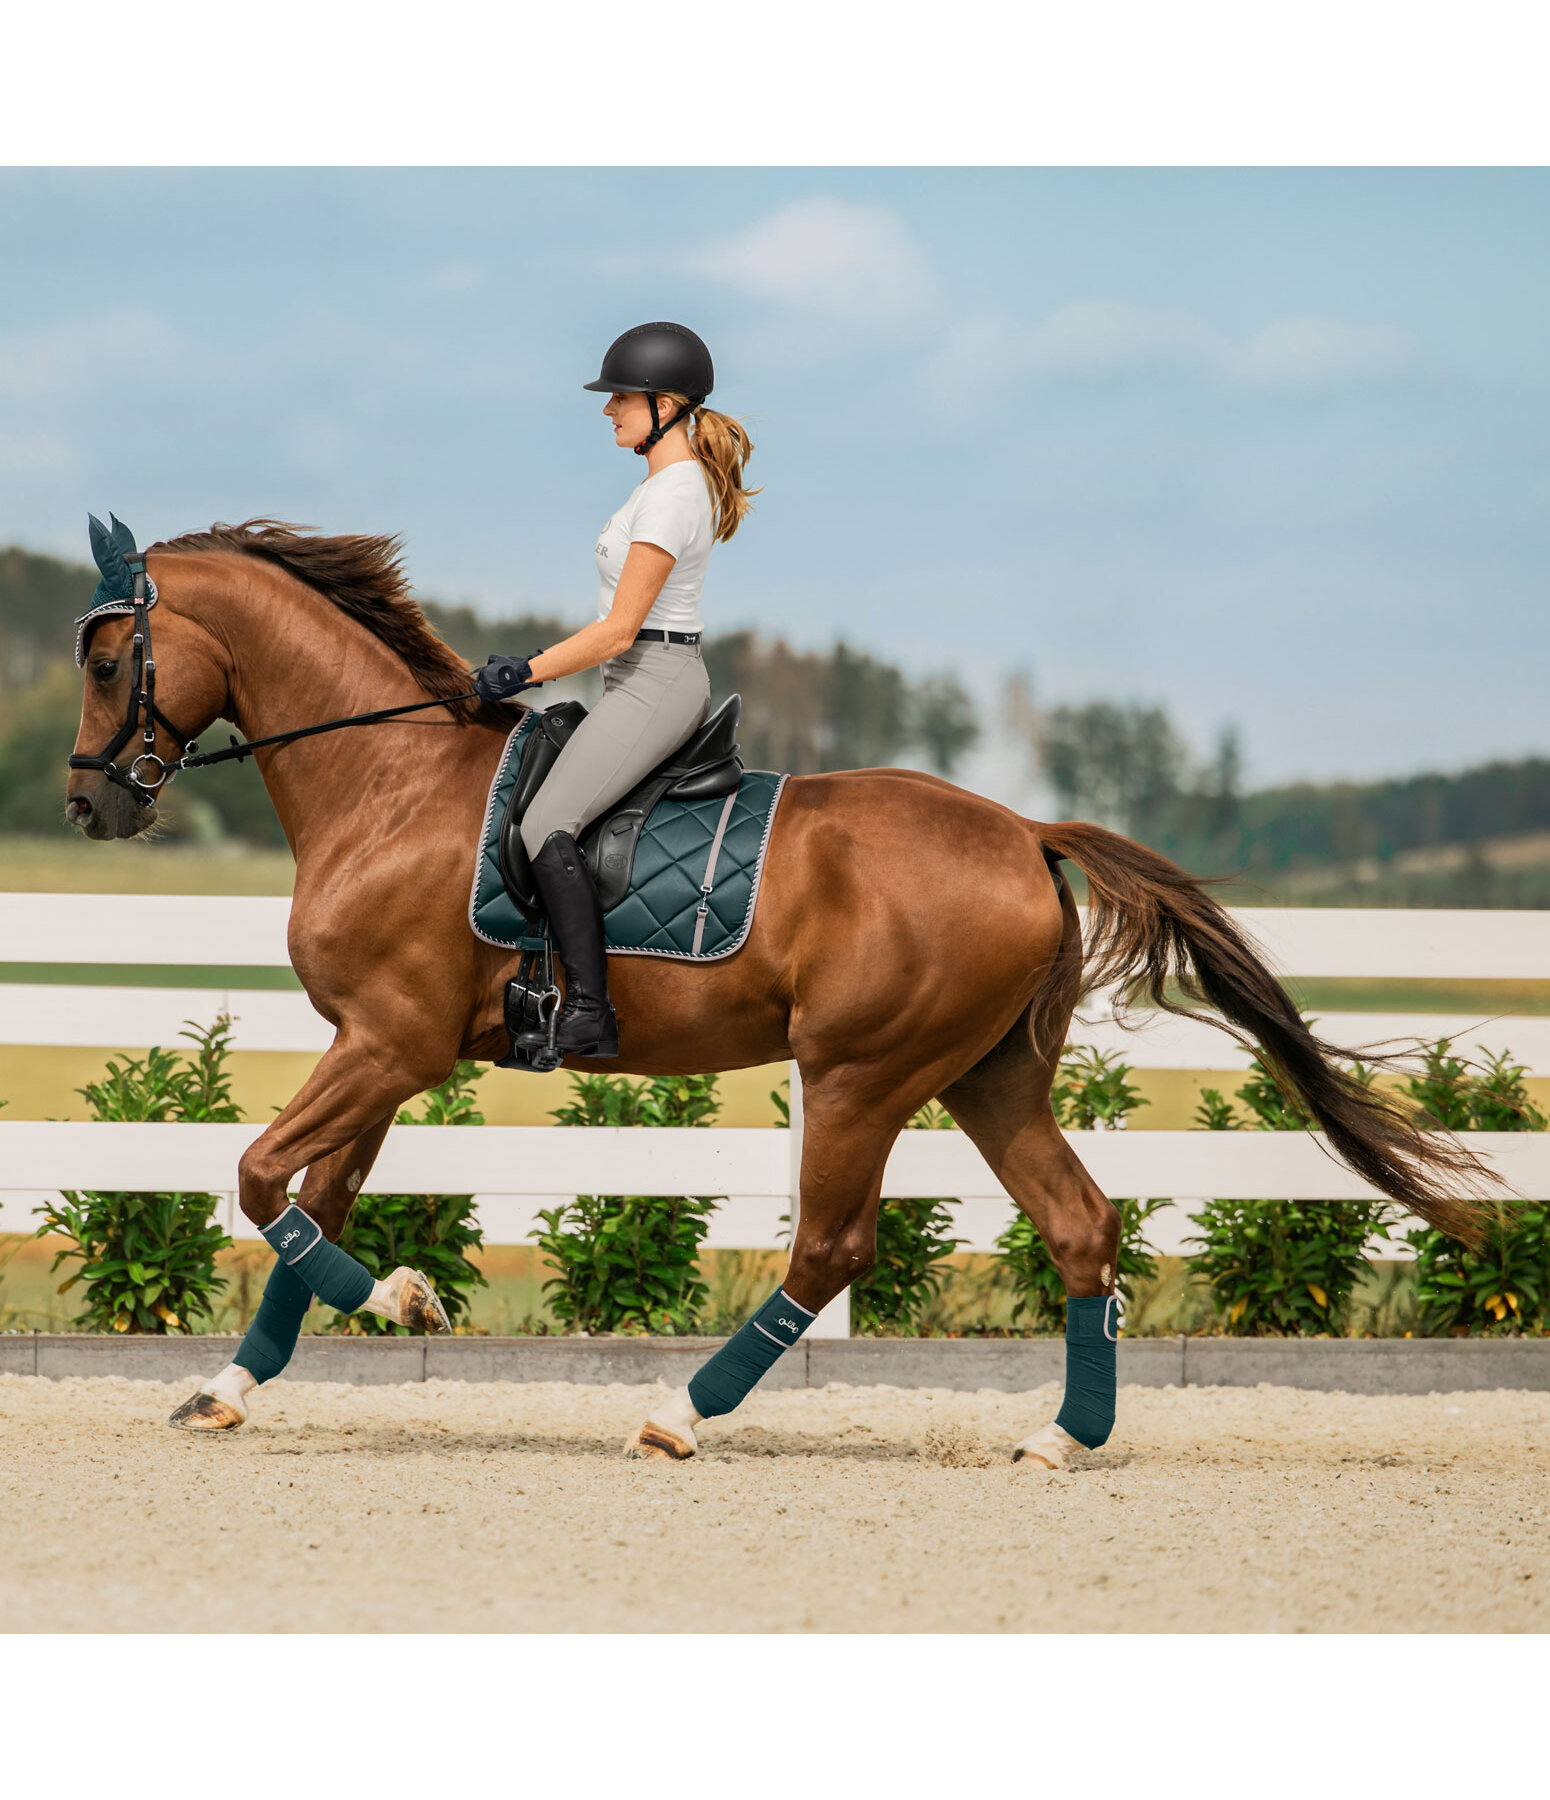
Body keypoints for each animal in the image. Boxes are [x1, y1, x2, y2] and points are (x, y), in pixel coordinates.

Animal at [63, 518, 1490, 1461]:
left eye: (106, 663)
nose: (87, 806)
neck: (388, 784)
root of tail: (1024, 831)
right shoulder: (381, 1049)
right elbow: (307, 1203)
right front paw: (231, 1389)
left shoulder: (392, 1045)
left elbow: (258, 1180)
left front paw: (402, 1300)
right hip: (990, 1075)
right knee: (1080, 1226)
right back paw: (1060, 1440)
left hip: (860, 1073)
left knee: (831, 1246)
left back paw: (676, 1415)